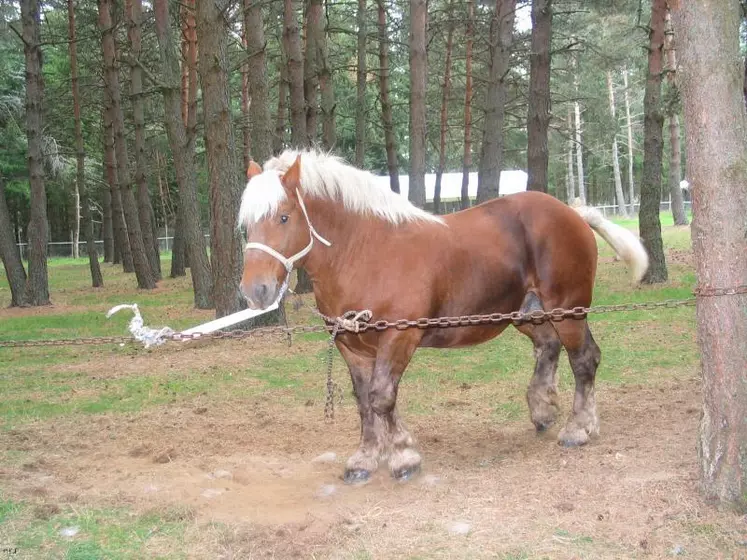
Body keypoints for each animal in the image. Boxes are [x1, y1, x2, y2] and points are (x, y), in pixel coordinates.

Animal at [240, 150, 648, 486]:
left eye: (284, 217)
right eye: (248, 224)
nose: (255, 290)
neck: (366, 253)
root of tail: (572, 213)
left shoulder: (399, 337)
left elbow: (382, 397)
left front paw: (403, 456)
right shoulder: (350, 345)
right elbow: (363, 402)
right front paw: (366, 458)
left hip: (568, 311)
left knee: (584, 360)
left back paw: (578, 428)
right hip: (530, 314)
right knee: (550, 349)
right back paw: (544, 409)